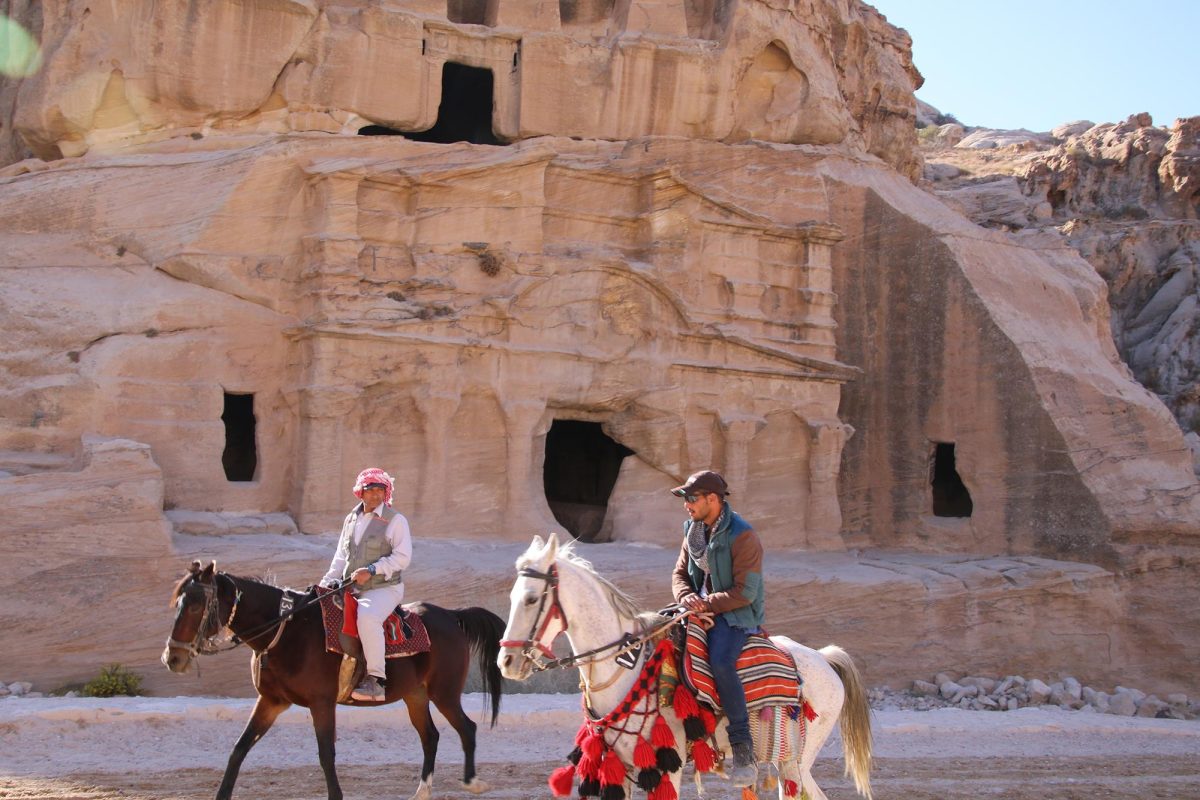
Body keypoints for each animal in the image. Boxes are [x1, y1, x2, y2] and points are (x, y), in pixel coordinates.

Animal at [162, 563, 504, 800]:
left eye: (195, 605)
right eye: (177, 603)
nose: (172, 658)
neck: (287, 630)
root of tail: (452, 615)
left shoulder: (322, 703)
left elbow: (326, 755)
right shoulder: (271, 702)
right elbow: (239, 748)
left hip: (444, 693)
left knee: (466, 728)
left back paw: (473, 782)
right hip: (415, 696)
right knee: (430, 736)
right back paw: (421, 792)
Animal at [496, 532, 873, 800]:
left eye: (531, 598)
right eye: (512, 596)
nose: (507, 662)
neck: (628, 668)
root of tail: (823, 658)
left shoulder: (667, 767)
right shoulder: (618, 768)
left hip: (795, 760)